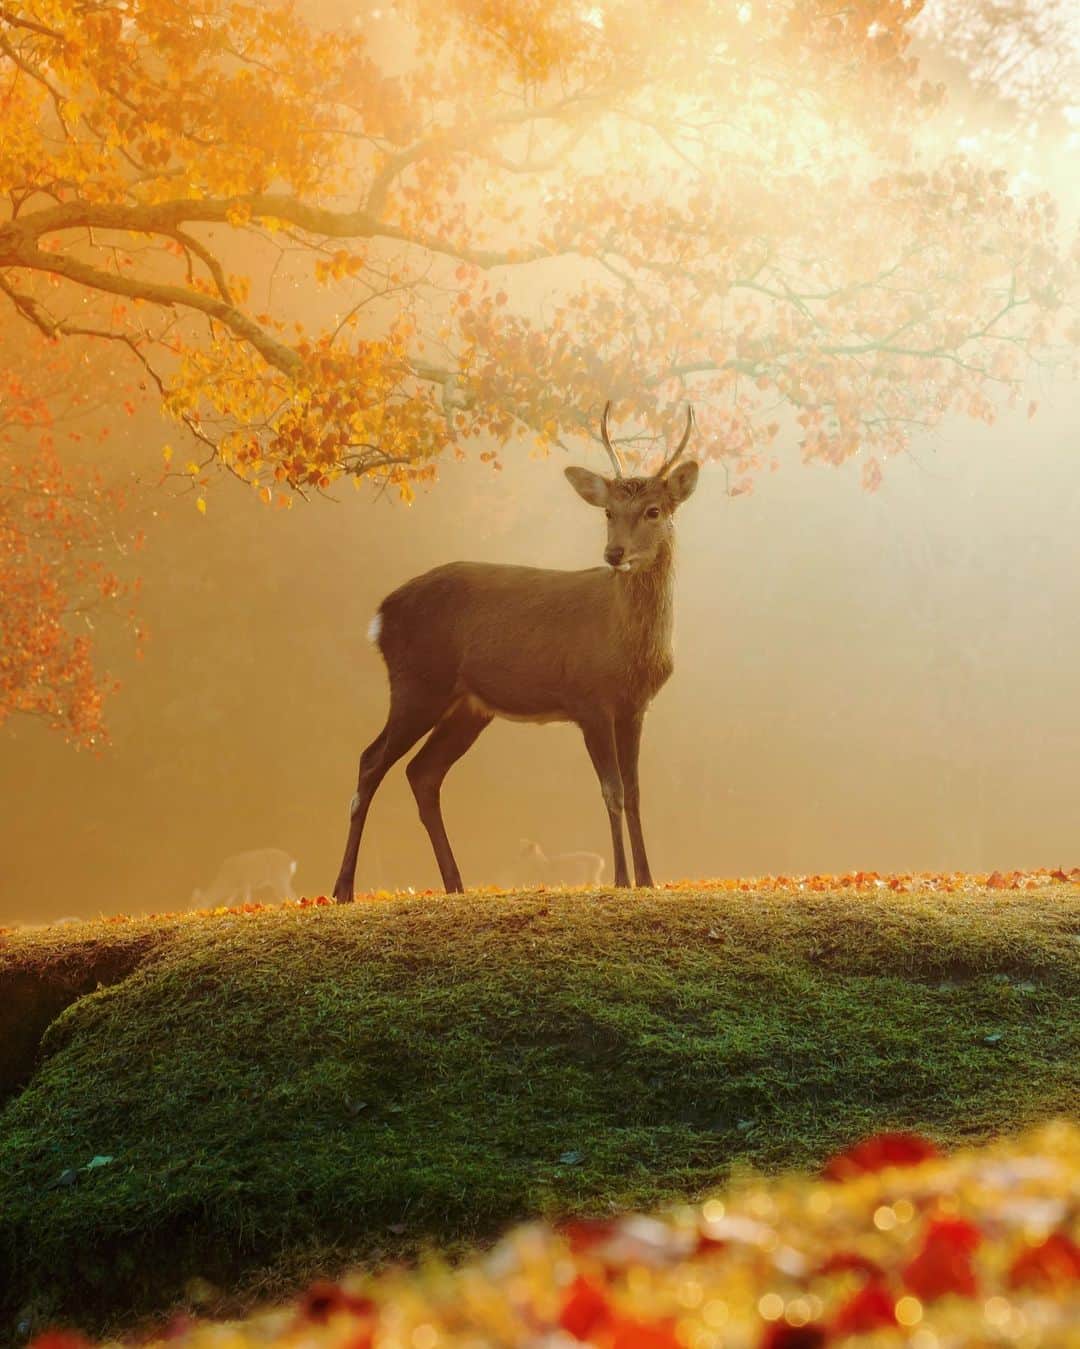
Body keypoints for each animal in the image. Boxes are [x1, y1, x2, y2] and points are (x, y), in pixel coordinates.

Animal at [332, 402, 699, 901]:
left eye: (654, 510)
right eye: (608, 510)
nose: (614, 553)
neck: (627, 644)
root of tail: (380, 616)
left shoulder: (635, 706)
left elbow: (637, 791)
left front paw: (647, 880)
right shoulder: (588, 698)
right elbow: (613, 790)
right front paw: (623, 880)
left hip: (468, 706)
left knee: (422, 773)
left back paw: (456, 884)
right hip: (418, 683)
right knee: (371, 761)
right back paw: (343, 889)